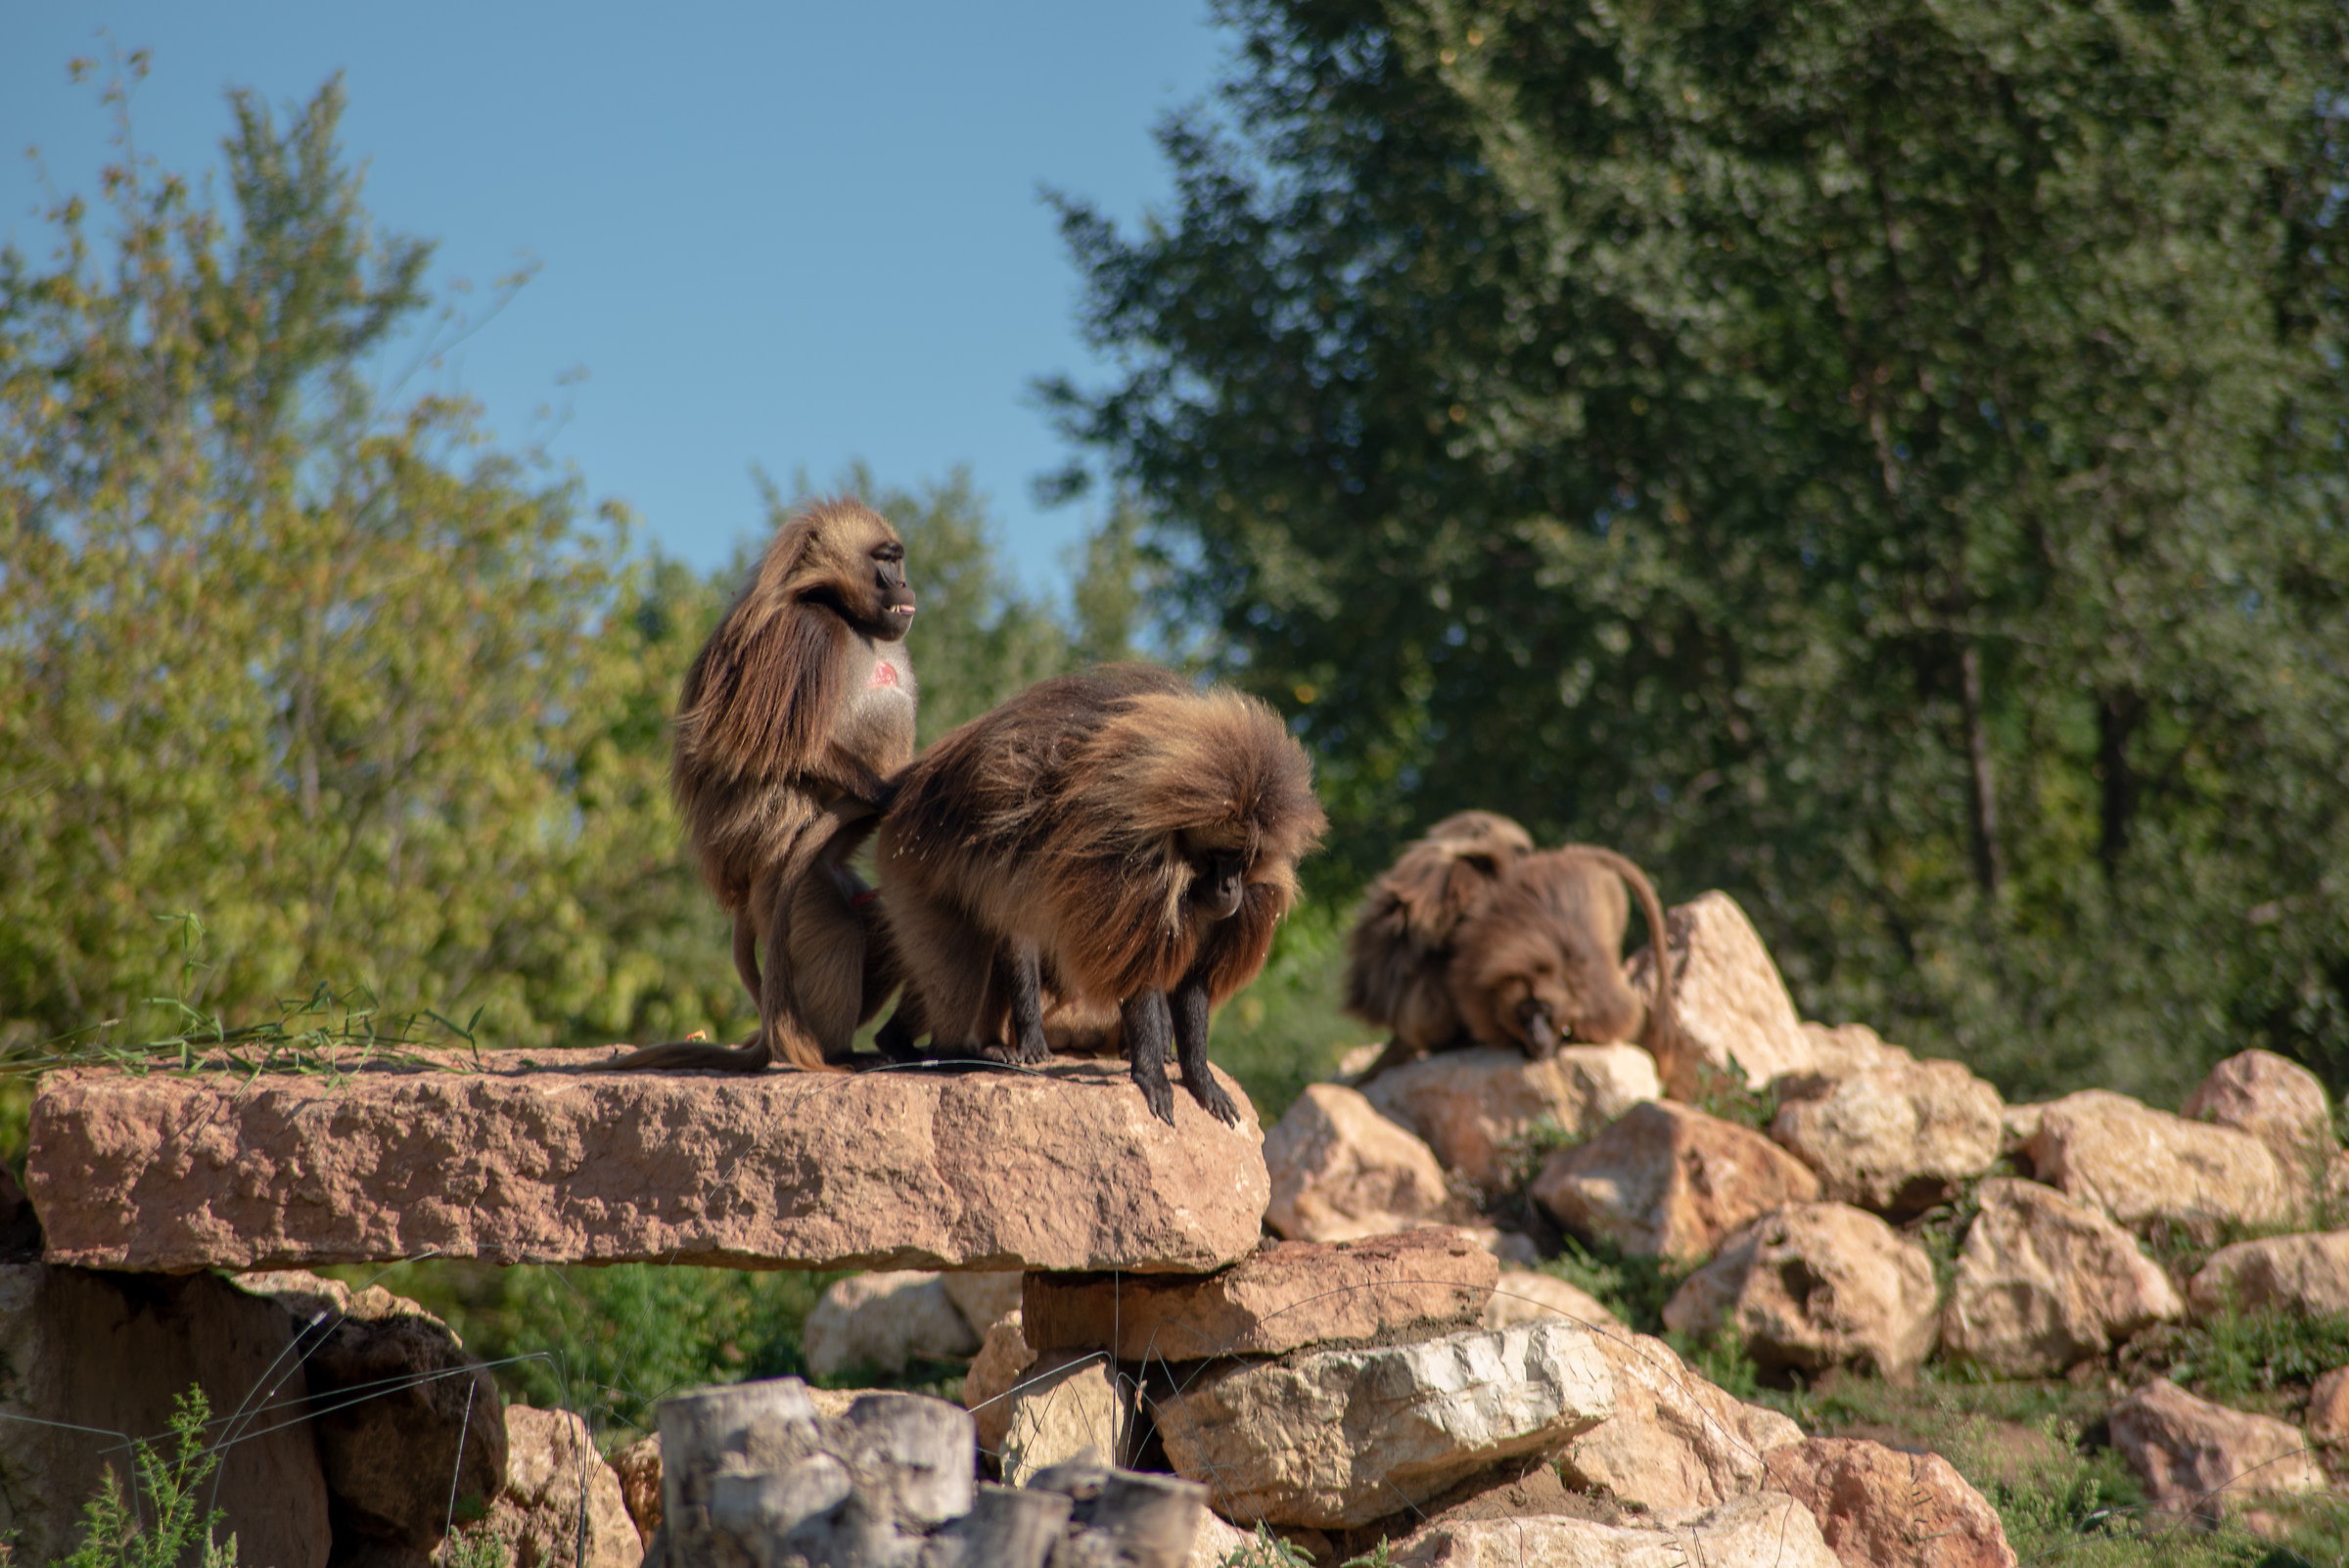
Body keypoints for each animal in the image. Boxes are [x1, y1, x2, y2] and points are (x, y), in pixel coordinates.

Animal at [611, 498, 917, 1074]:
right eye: (885, 561)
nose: (907, 585)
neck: (839, 609)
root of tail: (746, 881)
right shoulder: (805, 634)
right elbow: (782, 750)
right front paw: (889, 793)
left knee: (878, 915)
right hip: (788, 887)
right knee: (839, 931)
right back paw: (837, 1052)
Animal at [874, 665, 1326, 1125]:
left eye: (1242, 858)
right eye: (1217, 856)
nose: (1229, 889)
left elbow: (1191, 979)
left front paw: (1199, 1077)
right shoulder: (1127, 859)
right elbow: (1135, 970)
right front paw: (1151, 1074)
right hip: (911, 868)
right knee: (959, 969)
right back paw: (950, 1054)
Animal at [1340, 810, 1535, 1077]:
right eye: (1520, 851)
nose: (1529, 859)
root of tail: (1398, 1030)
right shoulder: (1454, 875)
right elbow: (1453, 934)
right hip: (1418, 1016)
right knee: (1445, 963)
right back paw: (1450, 1042)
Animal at [1447, 845, 1691, 1099]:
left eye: (1543, 1009)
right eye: (1524, 1011)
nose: (1536, 1034)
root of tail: (1573, 853)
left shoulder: (1597, 991)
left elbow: (1619, 1017)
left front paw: (1566, 1037)